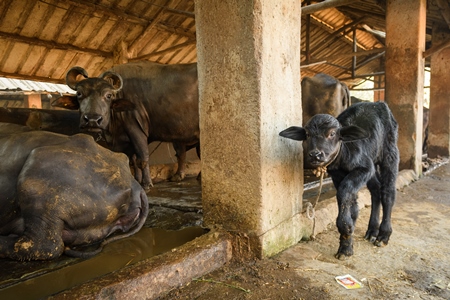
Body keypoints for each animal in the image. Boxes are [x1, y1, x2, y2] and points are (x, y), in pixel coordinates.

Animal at [51, 61, 200, 190]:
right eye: (79, 93)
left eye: (108, 95)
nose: (92, 119)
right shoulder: (126, 140)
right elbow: (132, 160)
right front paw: (137, 180)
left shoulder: (136, 130)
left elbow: (142, 158)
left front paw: (146, 184)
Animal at [280, 102, 400, 258]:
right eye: (307, 135)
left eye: (332, 134)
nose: (315, 154)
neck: (344, 153)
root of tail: (377, 103)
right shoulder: (338, 174)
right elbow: (351, 203)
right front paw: (346, 244)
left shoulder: (364, 168)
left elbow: (344, 193)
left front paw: (346, 228)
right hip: (373, 164)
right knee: (376, 189)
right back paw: (372, 231)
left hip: (390, 154)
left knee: (388, 192)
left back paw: (383, 235)